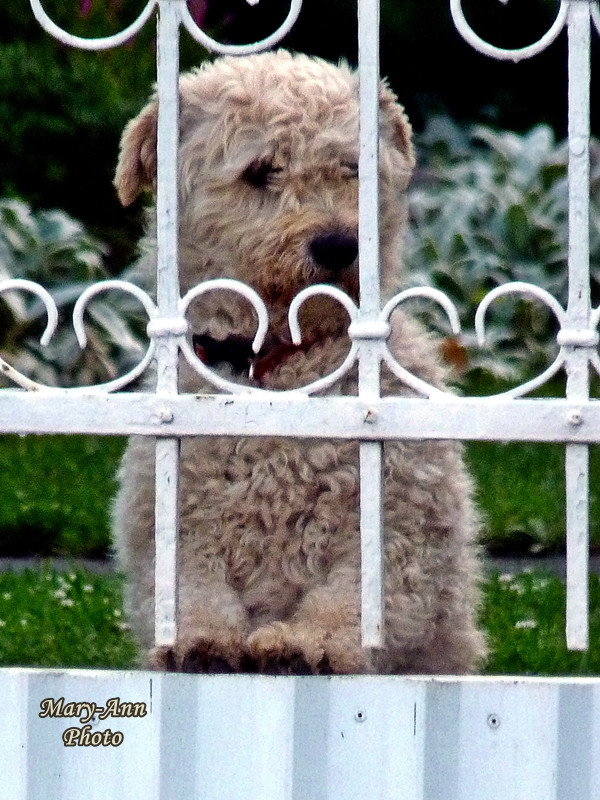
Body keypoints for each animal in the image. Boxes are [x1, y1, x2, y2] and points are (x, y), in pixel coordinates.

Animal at [112, 50, 488, 676]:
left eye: (353, 167)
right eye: (261, 170)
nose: (337, 244)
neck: (280, 372)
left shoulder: (399, 528)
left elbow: (354, 599)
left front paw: (308, 642)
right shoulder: (175, 530)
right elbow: (194, 591)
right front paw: (202, 641)